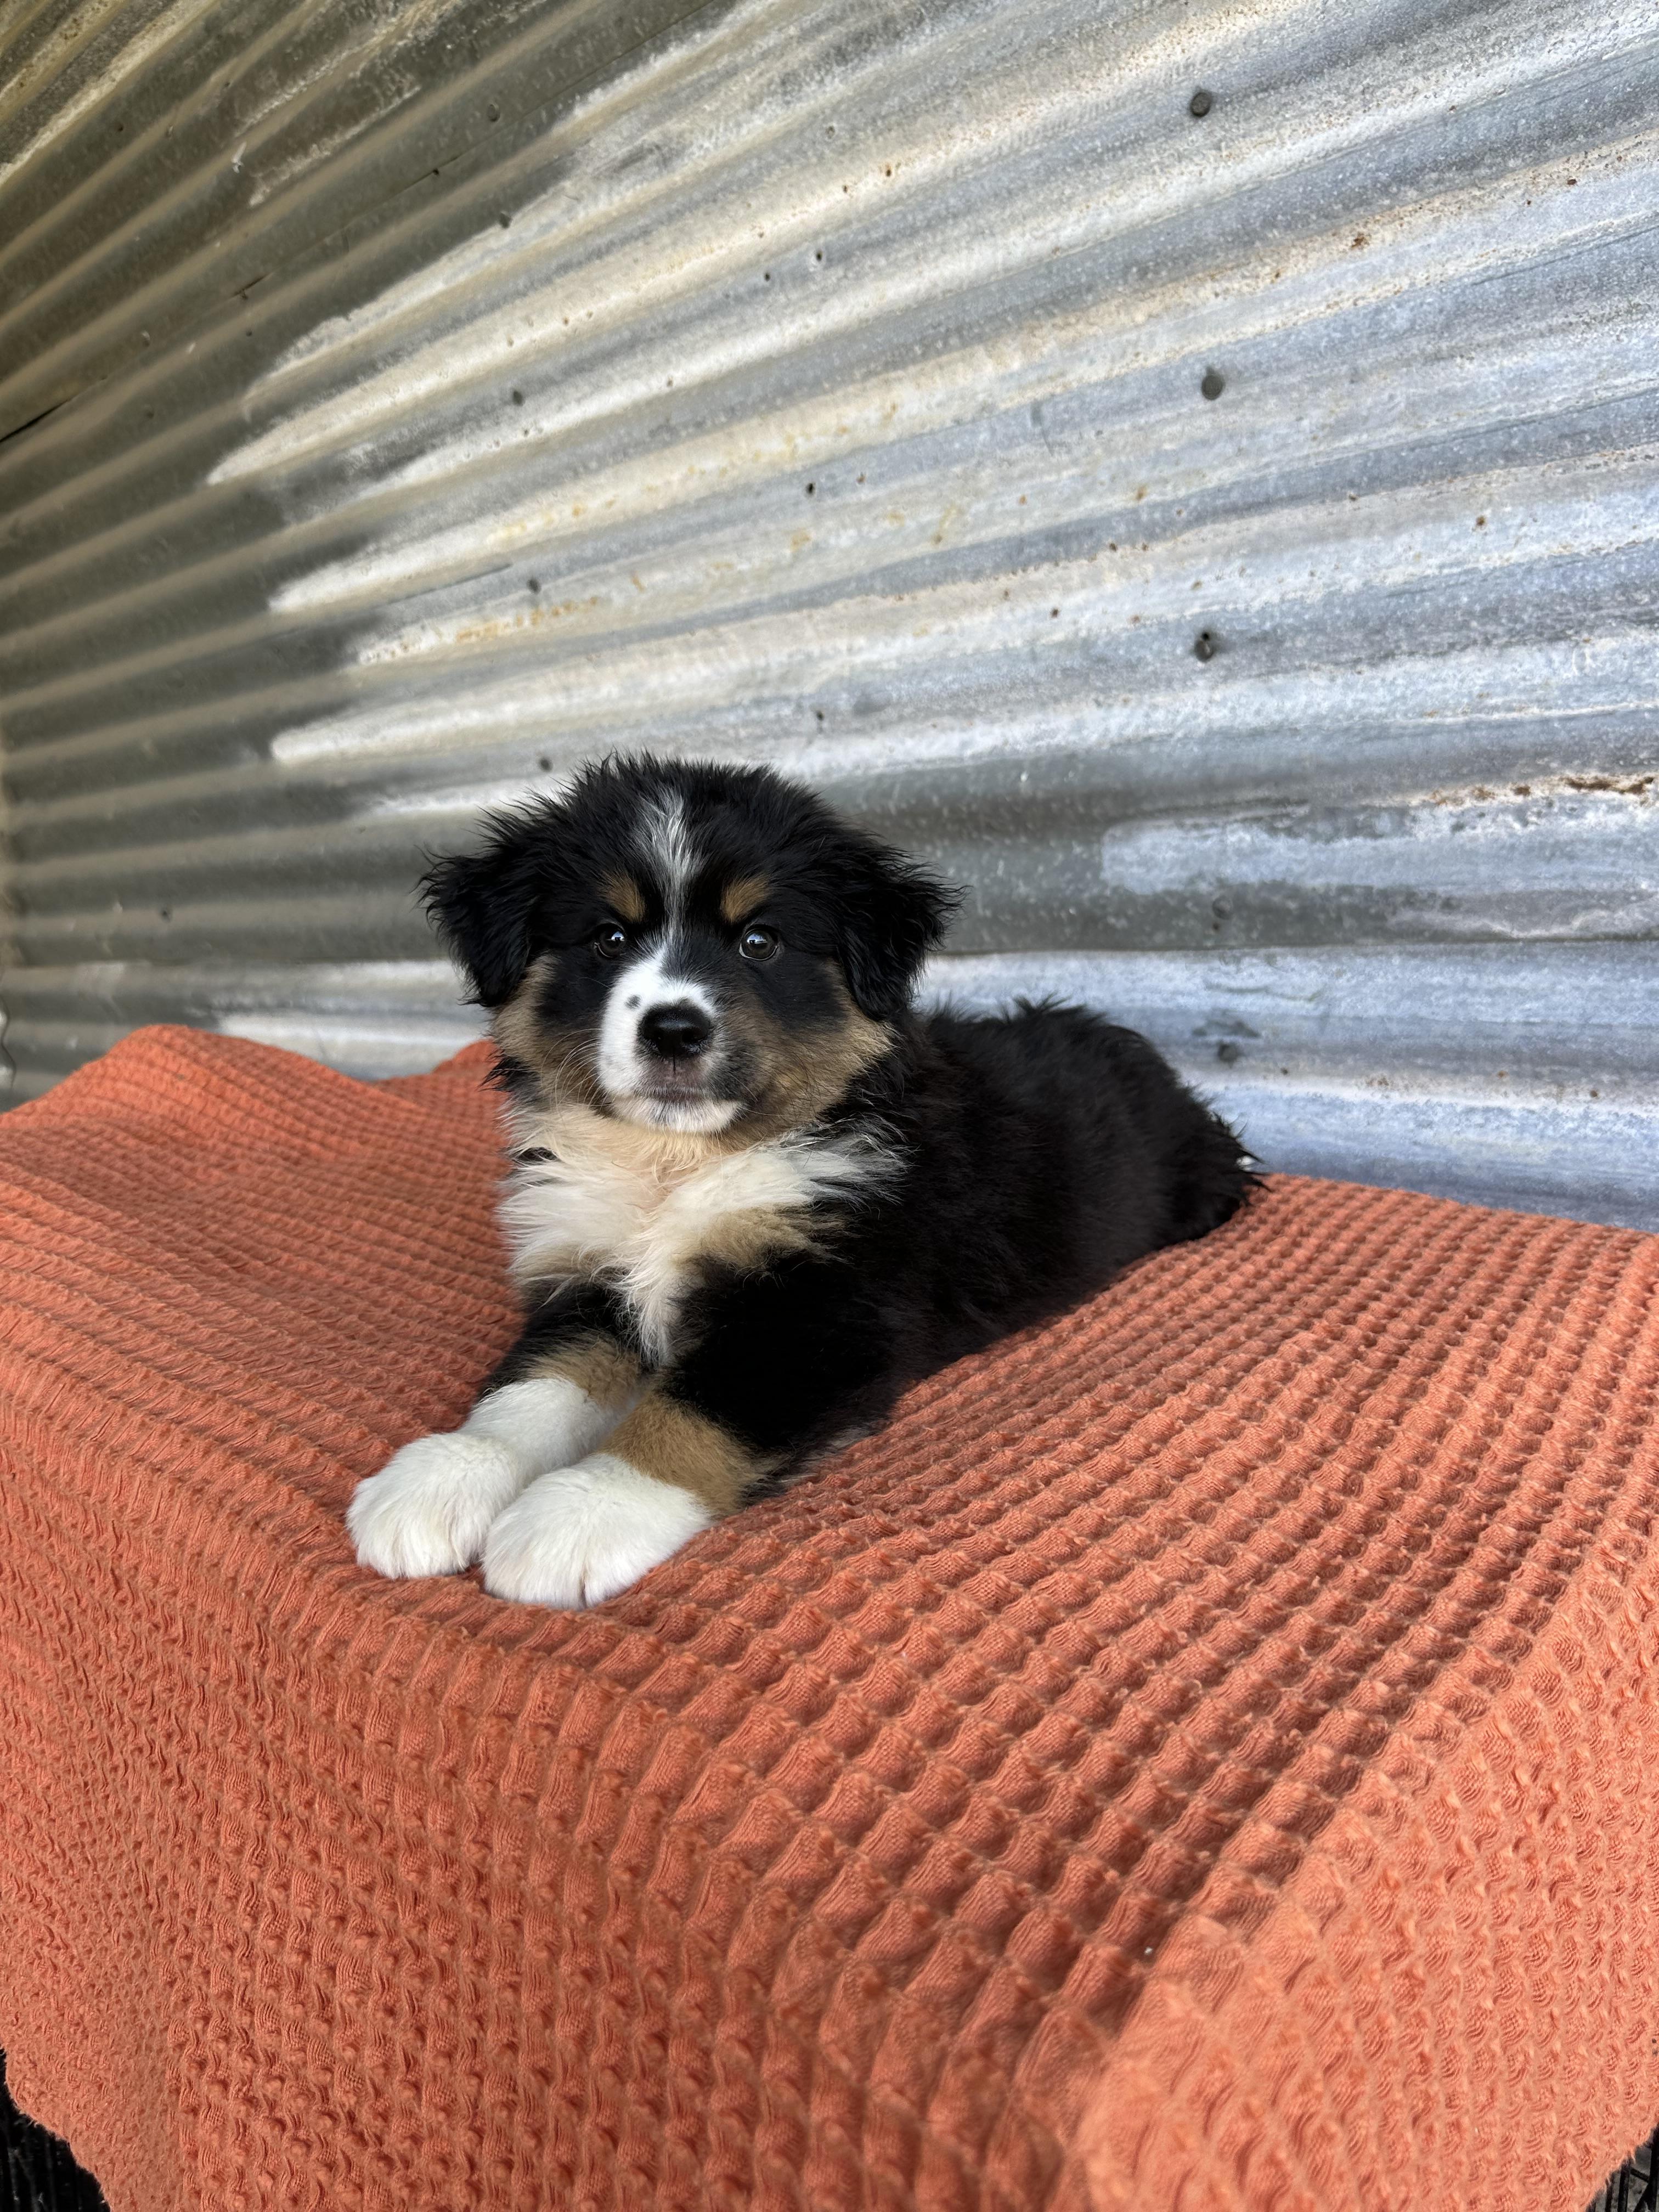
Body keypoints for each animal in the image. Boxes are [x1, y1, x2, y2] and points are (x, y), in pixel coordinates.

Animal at [347, 754, 1256, 1608]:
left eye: (760, 941)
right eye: (608, 938)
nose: (673, 1030)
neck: (678, 1164)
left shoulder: (823, 1308)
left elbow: (693, 1411)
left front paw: (580, 1515)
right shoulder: (588, 1273)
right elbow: (533, 1385)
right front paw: (445, 1476)